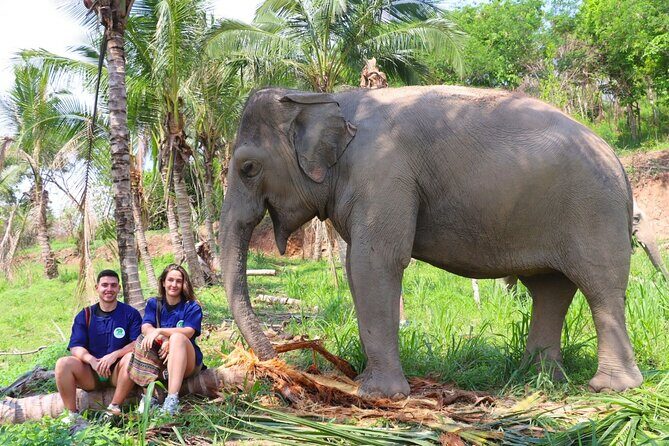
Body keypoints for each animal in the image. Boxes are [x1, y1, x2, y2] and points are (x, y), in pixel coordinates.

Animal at [219, 85, 643, 399]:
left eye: (248, 168)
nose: (276, 365)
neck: (323, 97)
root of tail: (619, 163)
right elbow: (357, 268)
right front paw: (366, 383)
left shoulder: (383, 173)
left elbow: (374, 262)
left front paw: (379, 394)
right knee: (550, 289)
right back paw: (537, 380)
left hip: (594, 212)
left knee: (600, 287)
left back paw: (610, 388)